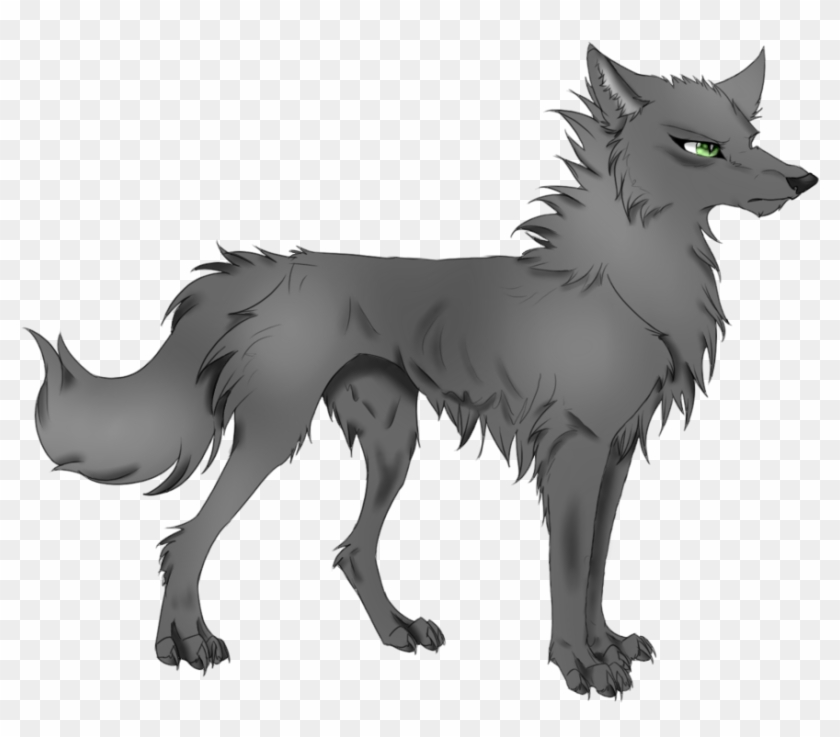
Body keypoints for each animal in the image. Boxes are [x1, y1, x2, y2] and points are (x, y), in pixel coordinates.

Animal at [28, 45, 817, 698]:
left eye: (748, 138)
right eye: (701, 147)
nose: (803, 179)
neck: (623, 286)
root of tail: (266, 267)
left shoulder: (615, 456)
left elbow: (594, 566)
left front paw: (607, 645)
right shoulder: (575, 453)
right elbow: (567, 569)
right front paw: (580, 666)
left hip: (391, 441)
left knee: (352, 551)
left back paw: (395, 631)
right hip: (276, 436)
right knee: (186, 540)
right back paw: (186, 644)